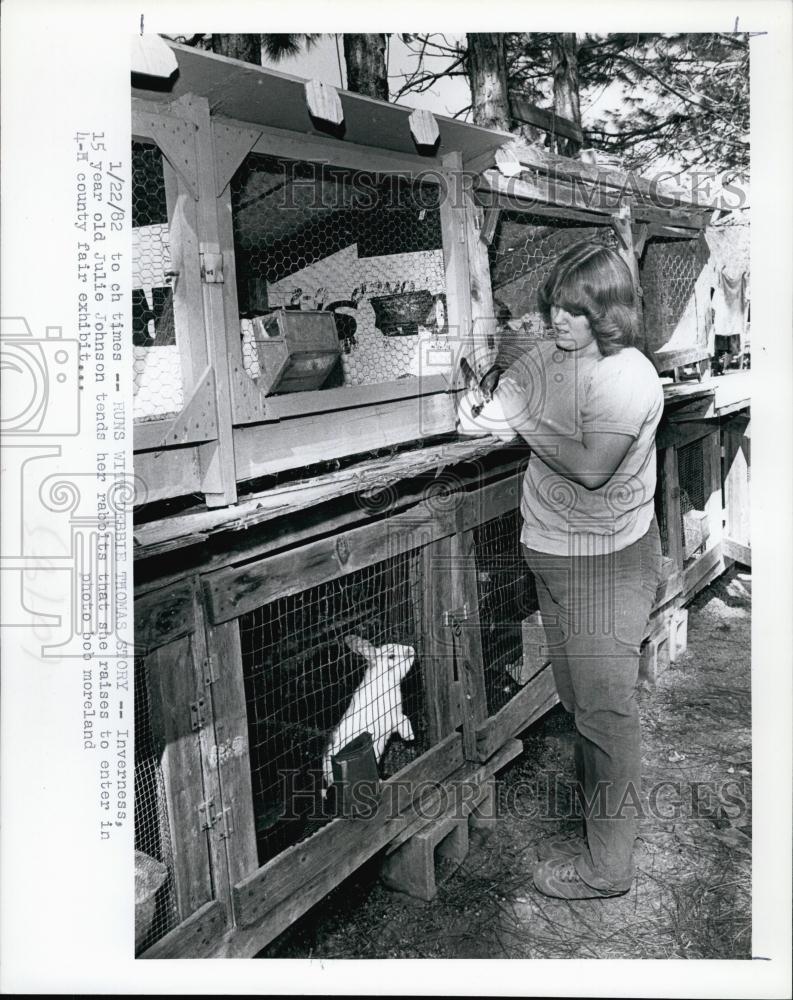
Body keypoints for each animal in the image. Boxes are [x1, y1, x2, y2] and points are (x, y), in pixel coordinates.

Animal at [318, 632, 414, 796]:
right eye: (391, 656)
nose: (411, 650)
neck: (385, 681)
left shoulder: (395, 716)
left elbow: (405, 719)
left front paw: (410, 736)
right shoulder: (393, 717)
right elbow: (404, 719)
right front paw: (409, 736)